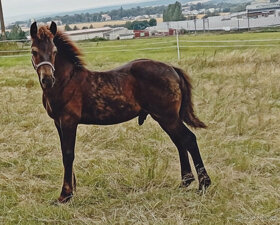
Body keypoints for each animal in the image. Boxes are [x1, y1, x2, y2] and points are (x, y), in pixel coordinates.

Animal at [30, 22, 210, 203]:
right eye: (34, 51)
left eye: (54, 51)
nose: (47, 79)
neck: (66, 81)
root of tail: (172, 69)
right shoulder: (58, 122)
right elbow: (64, 153)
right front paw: (72, 189)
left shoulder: (69, 121)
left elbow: (68, 155)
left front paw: (65, 195)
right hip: (166, 118)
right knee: (179, 142)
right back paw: (185, 181)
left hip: (167, 117)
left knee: (189, 139)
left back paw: (203, 184)